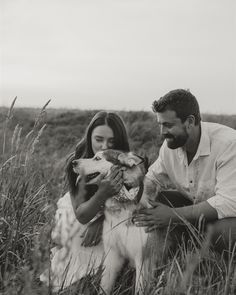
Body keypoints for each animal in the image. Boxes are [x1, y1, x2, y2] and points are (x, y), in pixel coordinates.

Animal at [72, 151, 171, 294]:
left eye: (97, 158)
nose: (73, 162)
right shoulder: (112, 255)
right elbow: (105, 287)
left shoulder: (144, 259)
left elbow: (139, 289)